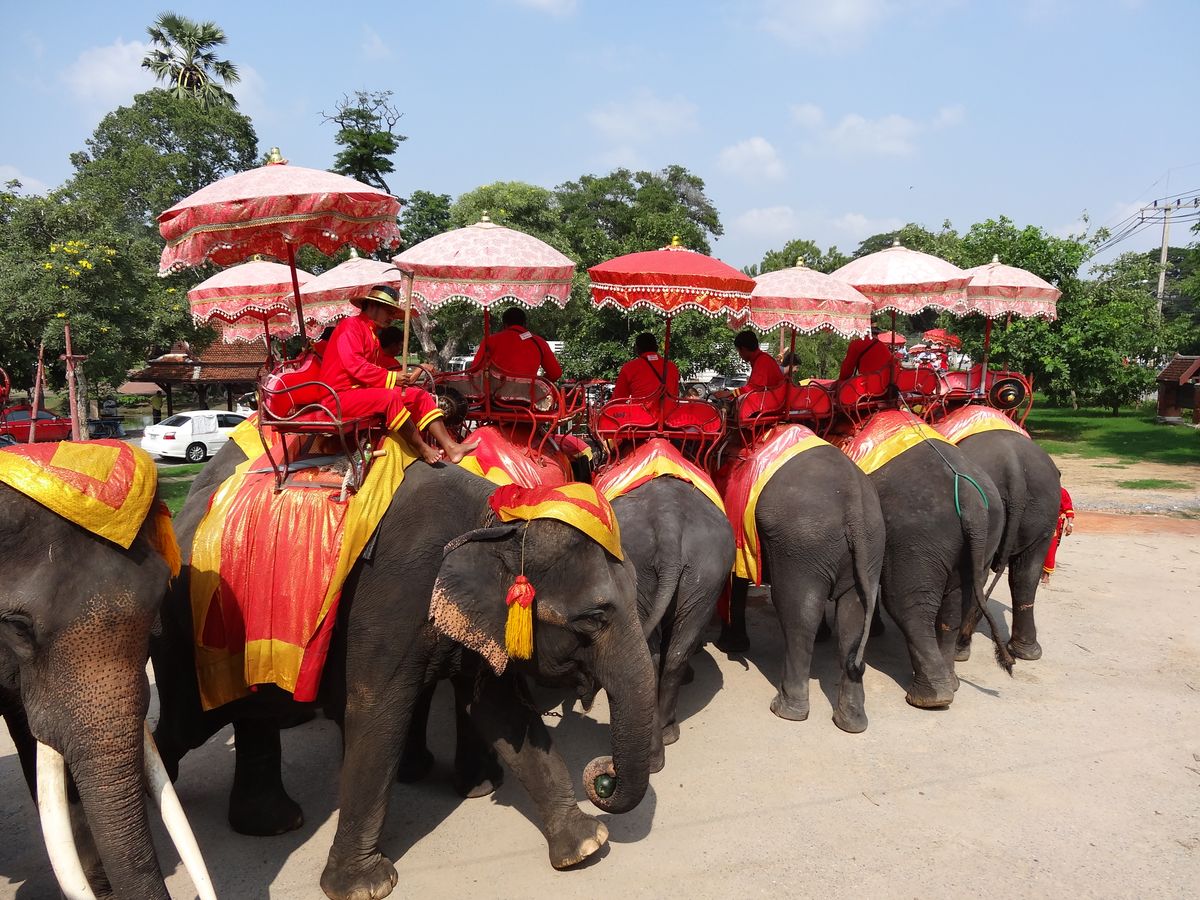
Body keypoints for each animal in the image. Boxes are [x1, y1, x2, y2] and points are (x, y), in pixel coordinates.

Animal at [151, 439, 658, 900]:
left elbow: (501, 713)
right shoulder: (391, 601)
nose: (604, 777)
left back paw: (274, 823)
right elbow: (377, 714)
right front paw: (364, 887)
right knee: (186, 724)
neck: (495, 521)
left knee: (249, 715)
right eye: (593, 619)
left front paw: (585, 846)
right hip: (184, 628)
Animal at [715, 445, 885, 733]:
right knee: (854, 616)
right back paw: (851, 722)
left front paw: (729, 646)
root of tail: (853, 501)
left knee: (798, 615)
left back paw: (785, 710)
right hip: (871, 544)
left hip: (800, 544)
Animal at [950, 430, 1061, 662]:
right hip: (1045, 510)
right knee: (1026, 575)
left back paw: (958, 650)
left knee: (978, 575)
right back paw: (1026, 652)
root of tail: (1016, 471)